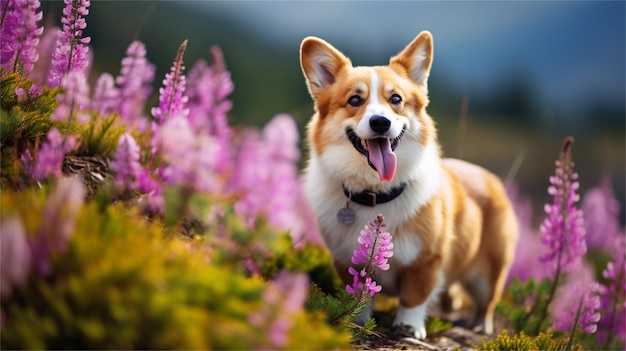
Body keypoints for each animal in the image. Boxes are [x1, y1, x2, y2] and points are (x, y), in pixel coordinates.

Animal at [298, 31, 516, 340]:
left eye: (396, 99)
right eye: (355, 99)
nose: (380, 122)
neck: (376, 193)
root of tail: (487, 175)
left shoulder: (427, 261)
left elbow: (415, 297)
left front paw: (409, 328)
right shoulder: (345, 260)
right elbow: (360, 293)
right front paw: (357, 320)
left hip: (489, 273)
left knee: (487, 303)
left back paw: (479, 326)